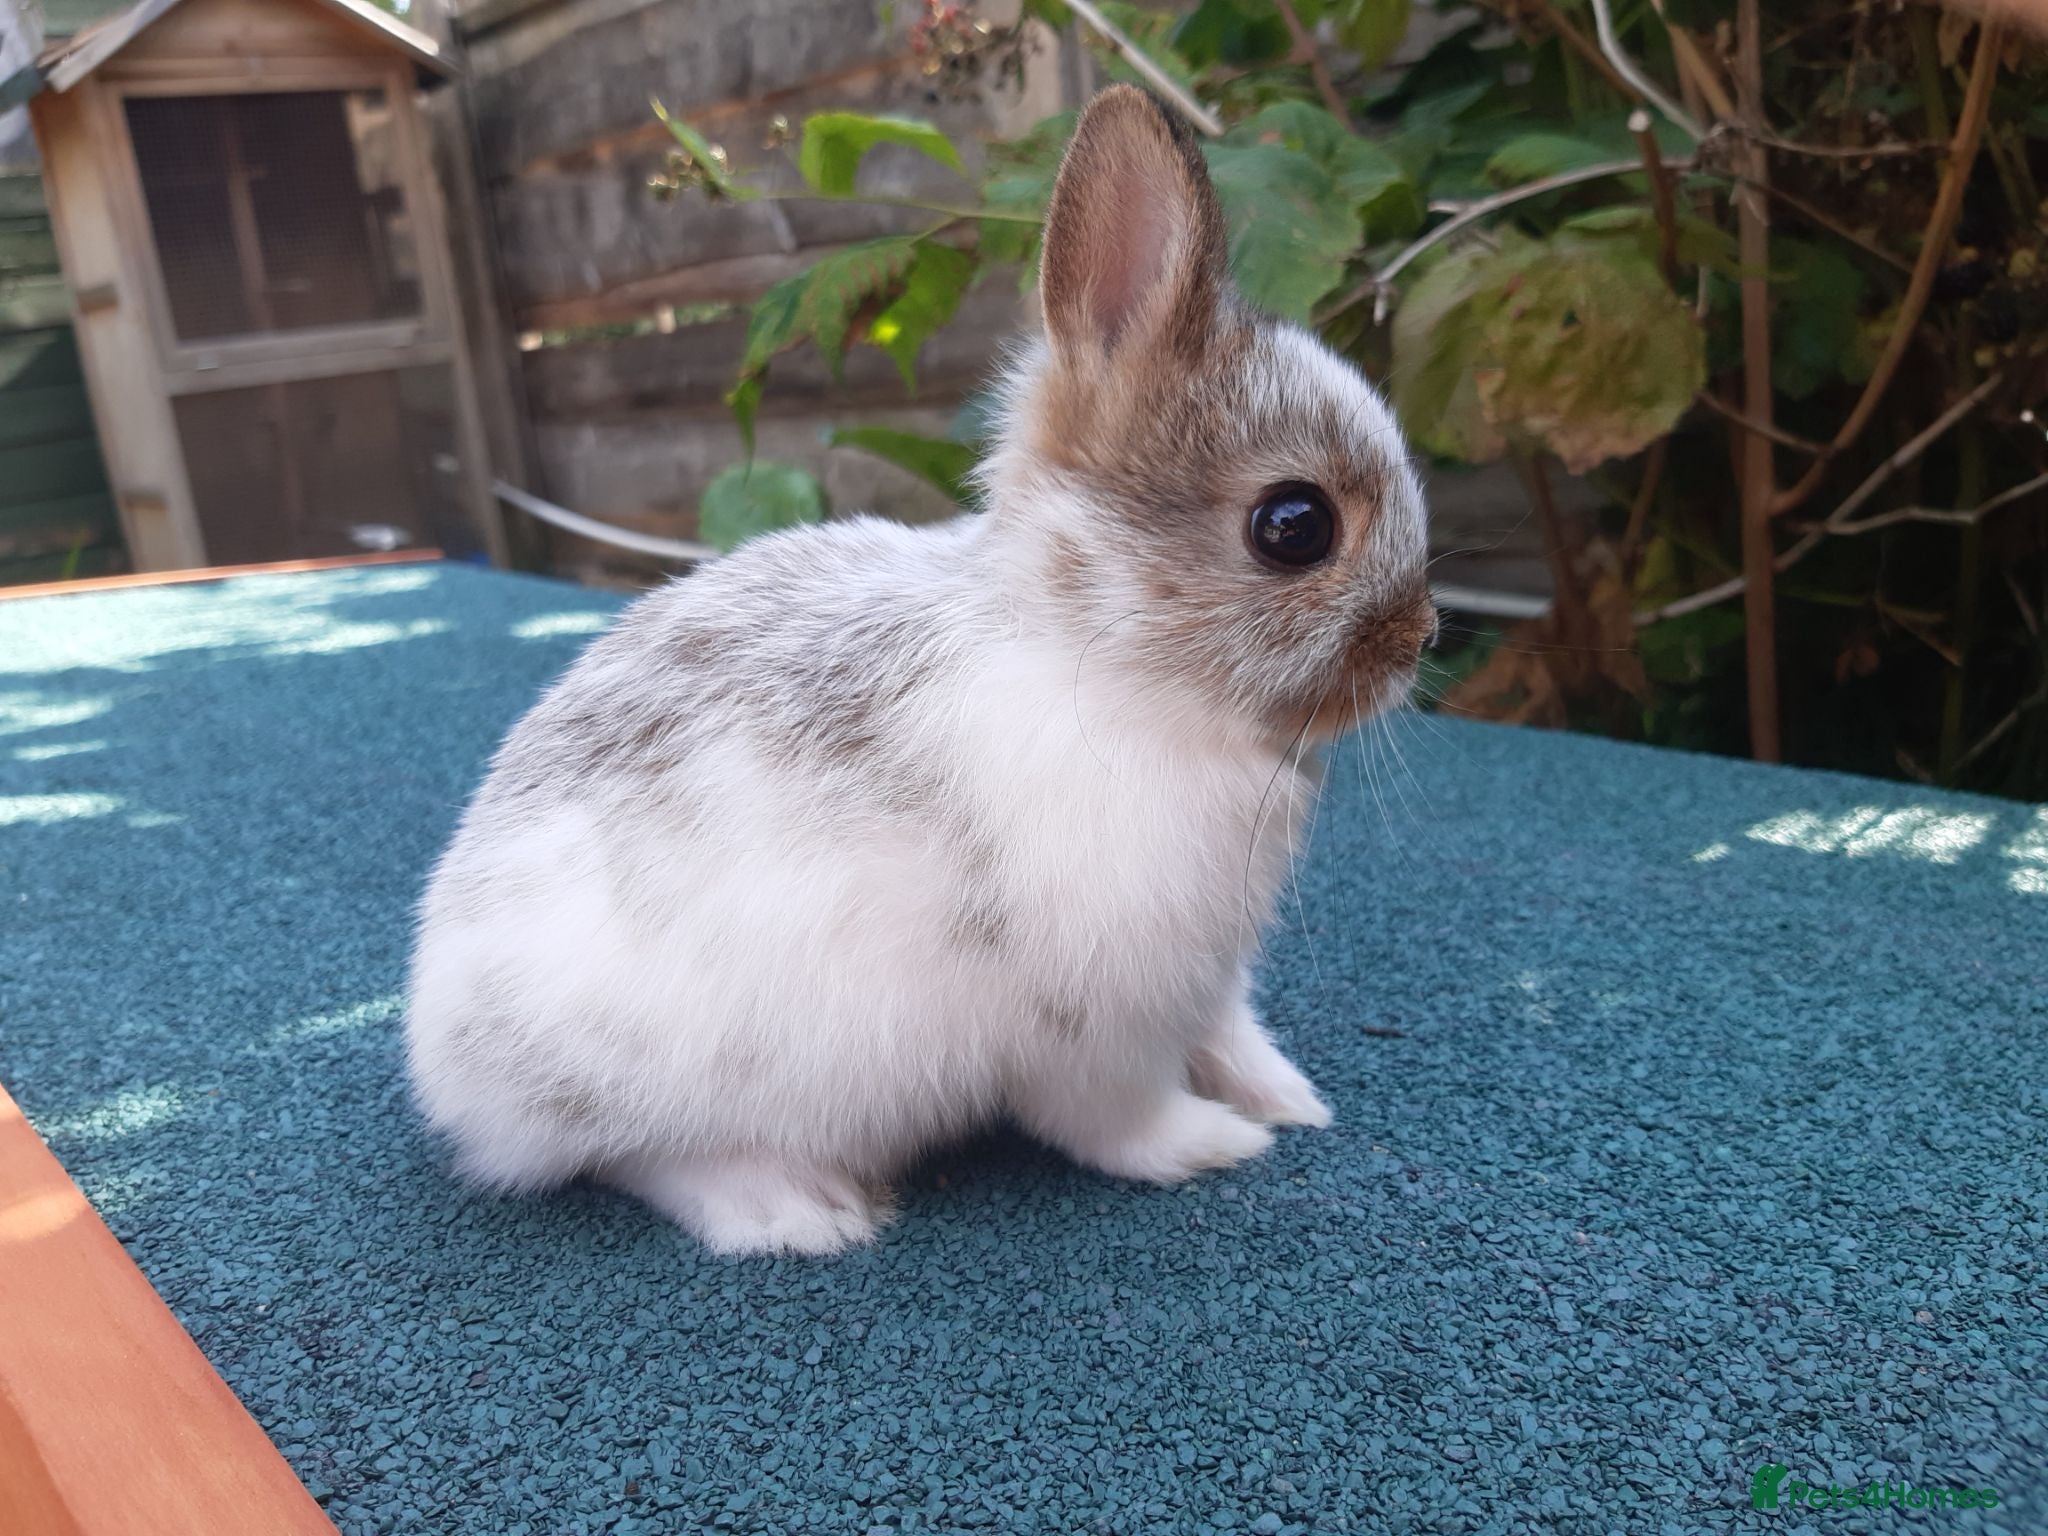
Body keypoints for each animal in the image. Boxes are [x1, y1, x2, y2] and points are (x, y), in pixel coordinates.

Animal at [406, 84, 1434, 1256]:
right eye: (1293, 526)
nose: (1420, 640)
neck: (1103, 663)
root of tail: (442, 1046)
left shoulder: (1207, 985)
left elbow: (1231, 1036)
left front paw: (1287, 1099)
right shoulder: (1096, 1026)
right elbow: (1116, 1121)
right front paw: (1216, 1144)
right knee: (640, 1160)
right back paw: (799, 1211)